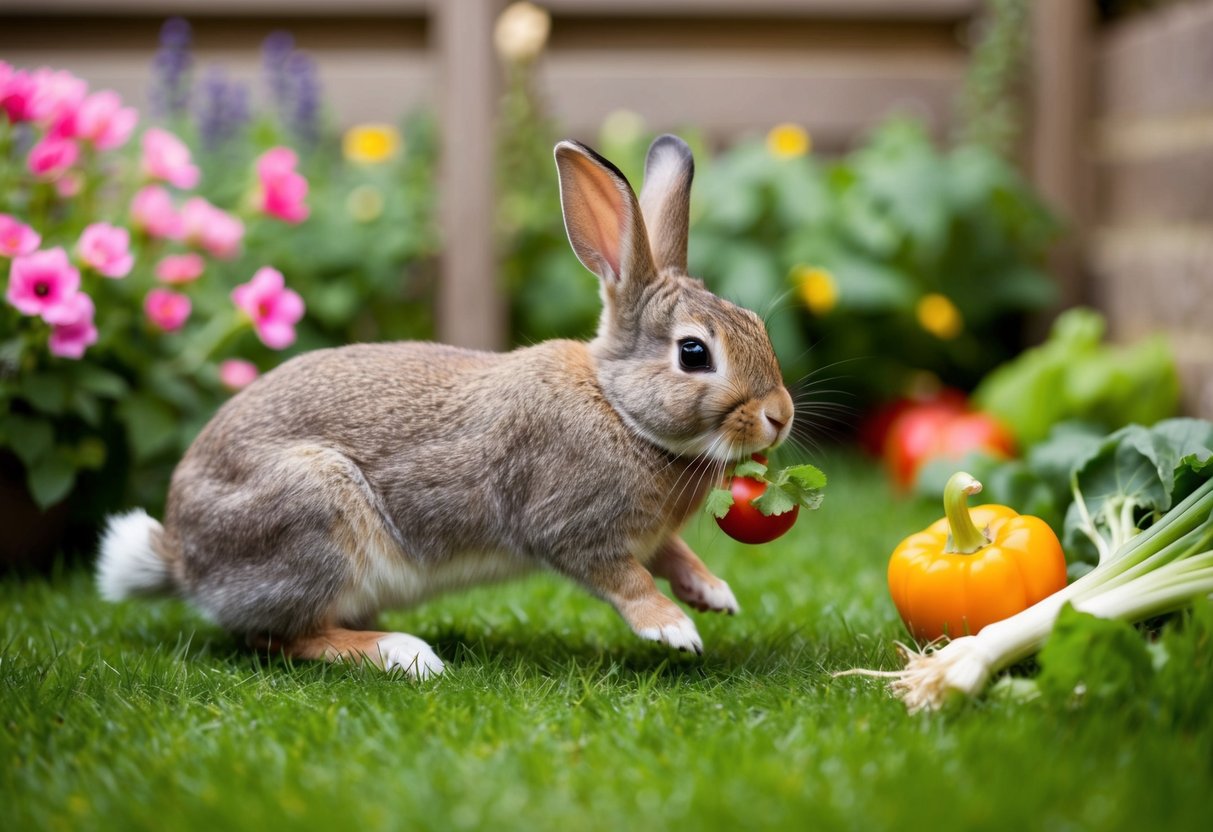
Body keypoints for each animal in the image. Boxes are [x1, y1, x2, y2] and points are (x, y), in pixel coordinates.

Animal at [96, 135, 795, 678]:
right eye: (695, 353)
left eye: (758, 325)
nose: (780, 416)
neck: (619, 408)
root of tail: (185, 559)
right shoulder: (572, 526)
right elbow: (626, 579)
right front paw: (673, 629)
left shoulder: (645, 534)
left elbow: (670, 554)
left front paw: (714, 594)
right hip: (310, 517)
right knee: (282, 637)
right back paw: (402, 654)